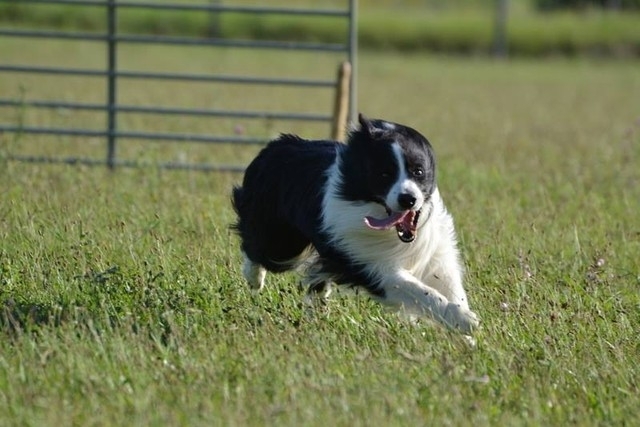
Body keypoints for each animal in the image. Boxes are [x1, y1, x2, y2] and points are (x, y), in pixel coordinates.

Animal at [232, 114, 479, 334]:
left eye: (418, 171)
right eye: (384, 174)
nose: (408, 199)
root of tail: (276, 145)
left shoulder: (436, 254)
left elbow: (451, 286)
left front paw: (464, 334)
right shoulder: (367, 262)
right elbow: (417, 290)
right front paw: (466, 321)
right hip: (282, 240)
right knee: (257, 249)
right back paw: (254, 279)